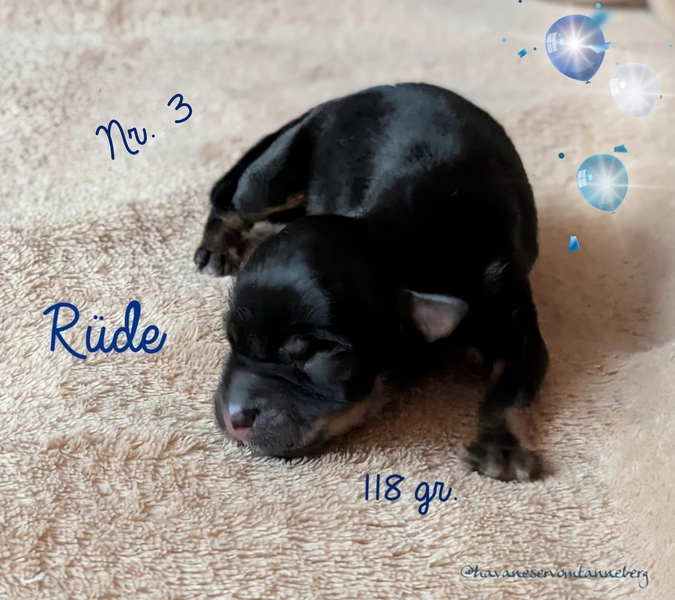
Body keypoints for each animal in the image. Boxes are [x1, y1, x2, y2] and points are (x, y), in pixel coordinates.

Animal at [195, 83, 549, 482]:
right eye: (231, 341)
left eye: (318, 352)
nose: (232, 419)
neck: (414, 242)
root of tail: (344, 97)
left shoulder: (514, 321)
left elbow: (511, 386)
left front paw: (501, 446)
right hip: (271, 180)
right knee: (229, 200)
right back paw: (216, 245)